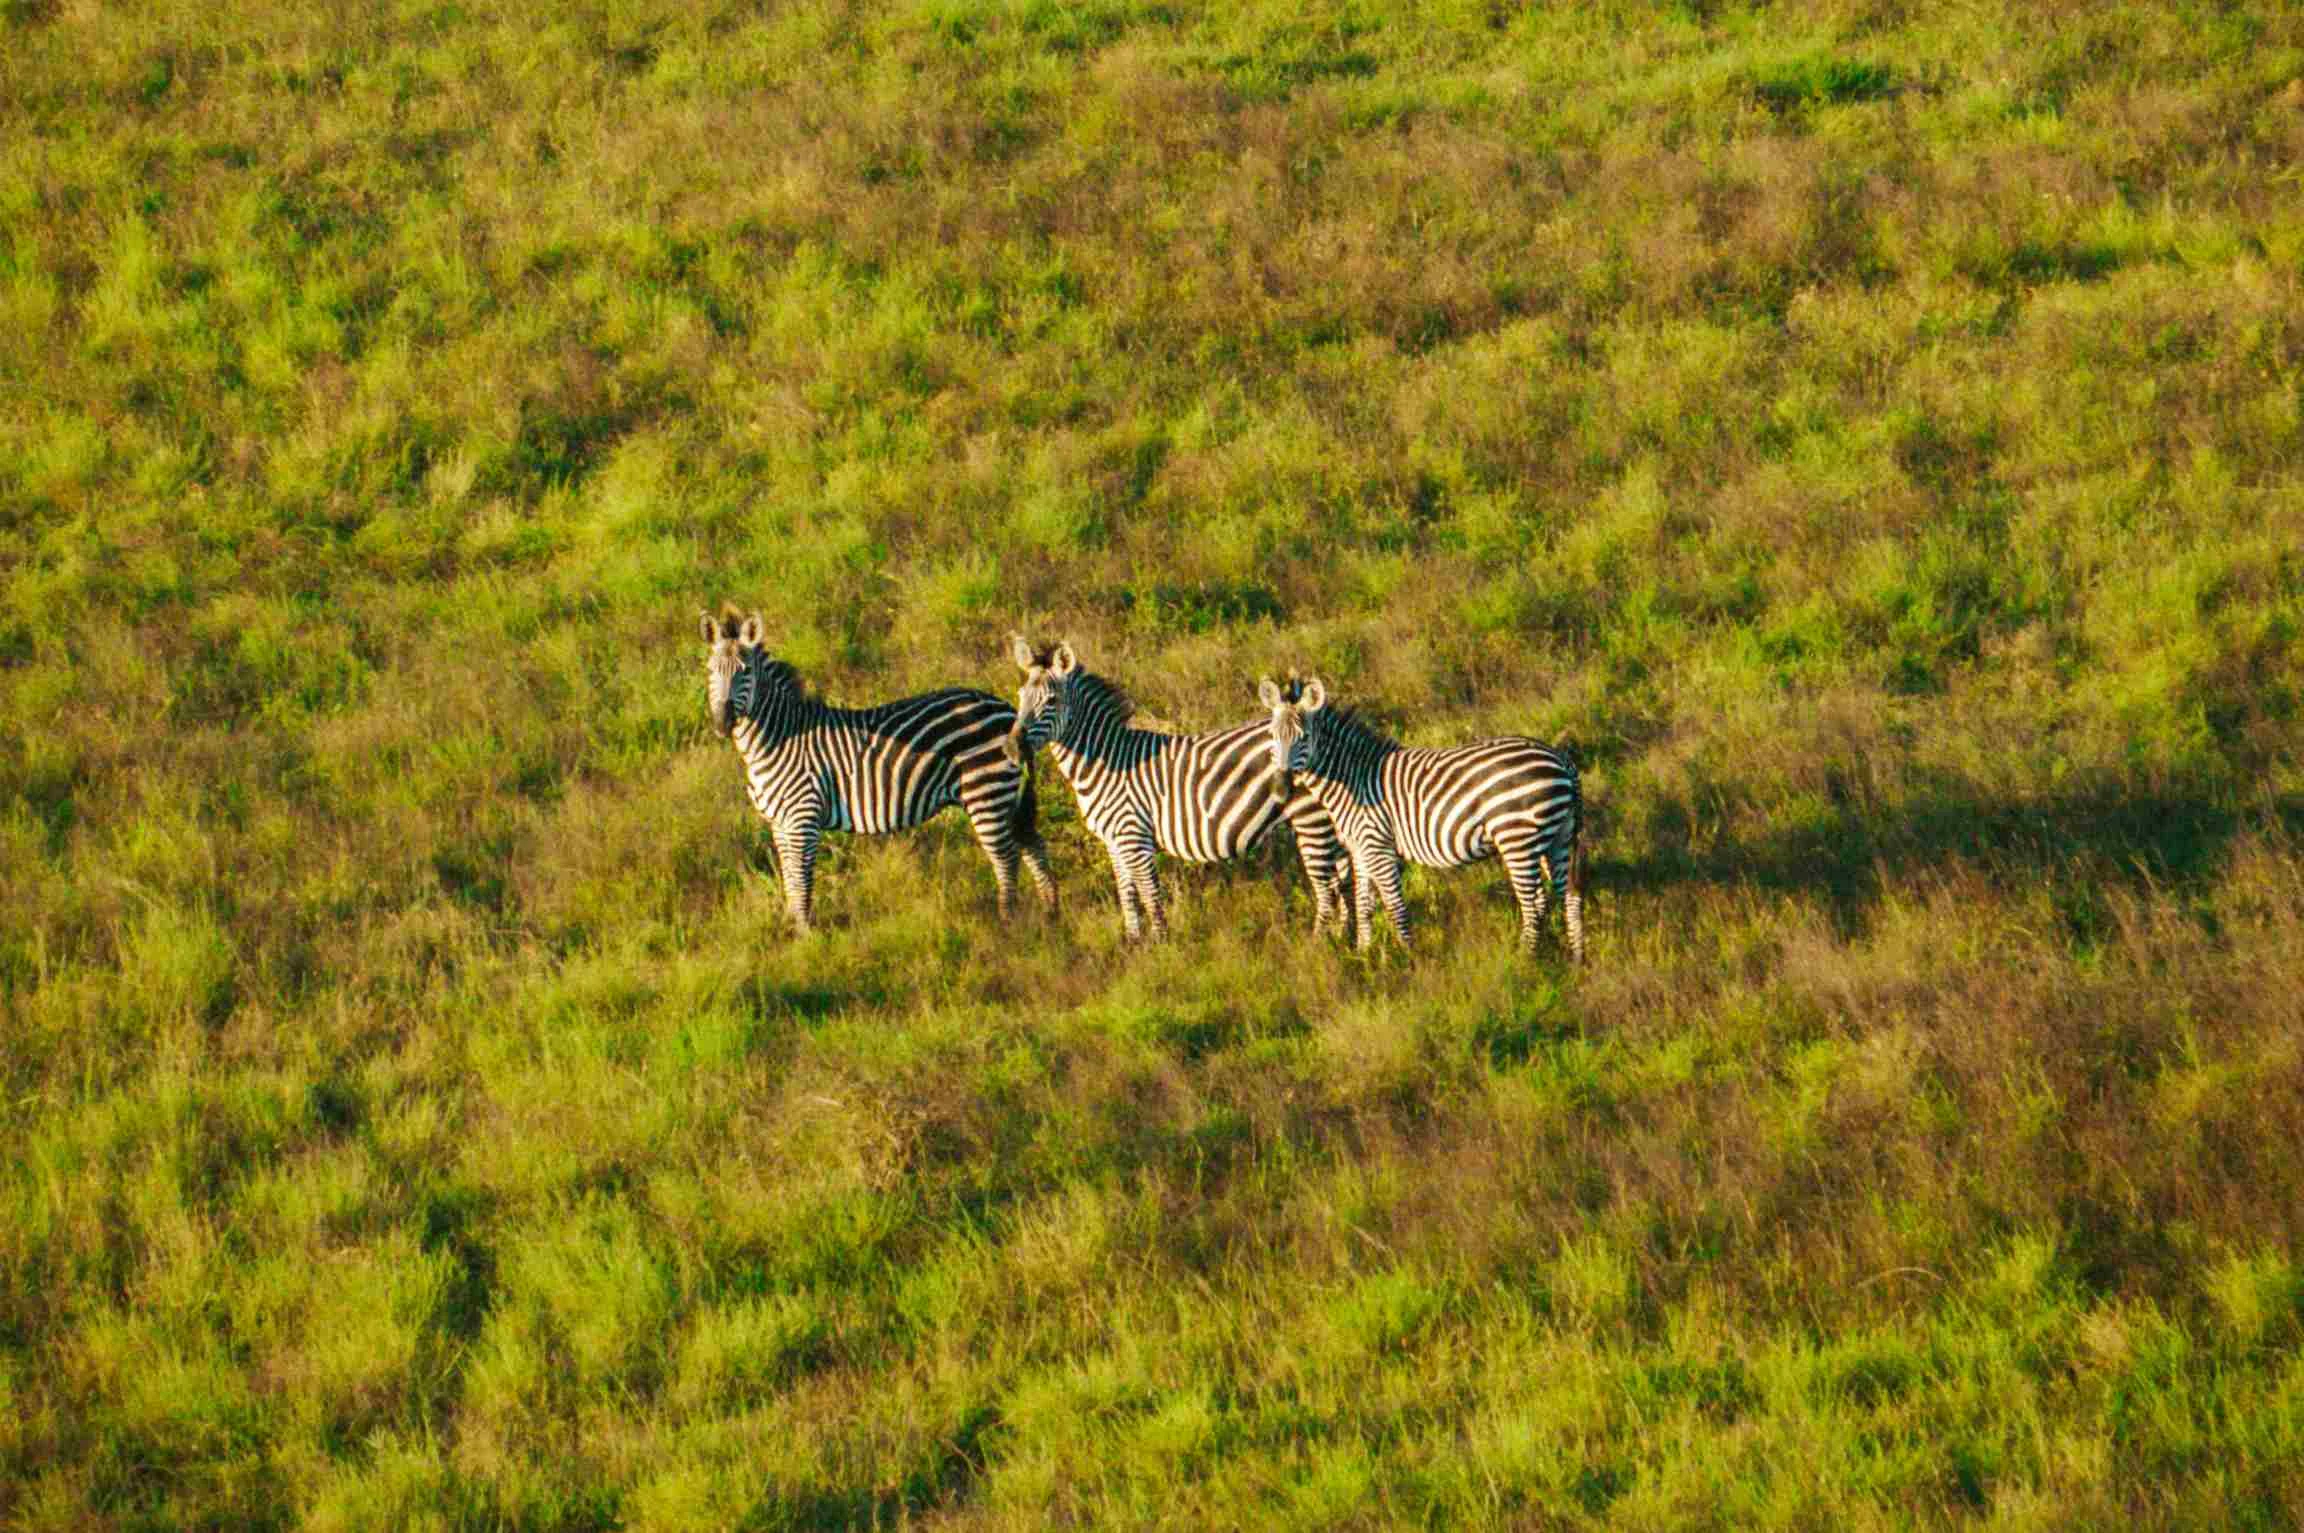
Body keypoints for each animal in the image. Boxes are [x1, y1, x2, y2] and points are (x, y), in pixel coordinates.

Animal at [702, 608, 1056, 931]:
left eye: (745, 672)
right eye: (710, 671)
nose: (722, 723)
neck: (778, 740)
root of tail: (1009, 711)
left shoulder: (803, 818)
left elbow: (801, 880)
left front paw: (805, 939)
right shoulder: (780, 823)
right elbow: (789, 878)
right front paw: (791, 928)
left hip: (986, 792)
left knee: (1007, 858)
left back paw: (1008, 922)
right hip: (1006, 797)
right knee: (1033, 846)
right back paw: (1051, 912)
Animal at [1005, 636, 1348, 942]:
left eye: (1051, 701)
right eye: (1021, 695)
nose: (1010, 748)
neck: (1107, 762)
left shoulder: (1135, 837)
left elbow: (1150, 896)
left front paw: (1160, 948)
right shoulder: (1114, 841)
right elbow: (1126, 895)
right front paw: (1133, 945)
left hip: (1312, 819)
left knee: (1329, 887)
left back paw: (1323, 945)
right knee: (1346, 879)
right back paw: (1345, 942)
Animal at [1261, 675, 1585, 960]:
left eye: (1304, 738)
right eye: (1273, 737)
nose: (1281, 789)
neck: (1352, 779)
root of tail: (1560, 758)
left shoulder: (1378, 847)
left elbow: (1395, 907)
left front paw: (1409, 960)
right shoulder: (1360, 850)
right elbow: (1364, 906)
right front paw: (1363, 958)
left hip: (1517, 839)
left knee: (1535, 903)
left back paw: (1524, 960)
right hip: (1557, 838)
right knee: (1570, 895)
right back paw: (1577, 960)